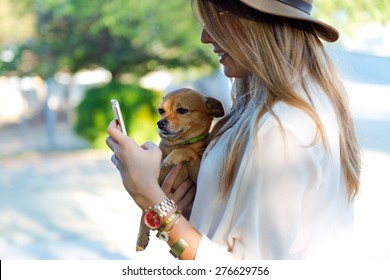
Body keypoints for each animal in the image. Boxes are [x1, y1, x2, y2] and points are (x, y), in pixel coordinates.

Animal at [136, 87, 224, 252]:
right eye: (160, 110)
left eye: (182, 110)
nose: (160, 123)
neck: (177, 143)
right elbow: (145, 210)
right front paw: (141, 237)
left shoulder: (197, 176)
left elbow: (189, 151)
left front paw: (173, 157)